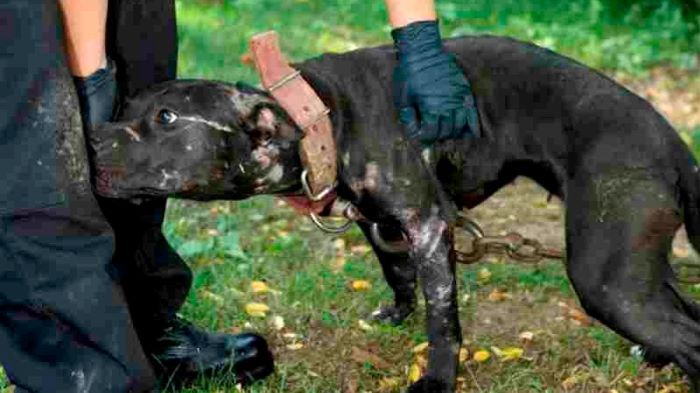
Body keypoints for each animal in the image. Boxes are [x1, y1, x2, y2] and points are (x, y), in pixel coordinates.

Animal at [90, 35, 700, 390]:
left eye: (167, 119)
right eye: (124, 107)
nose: (91, 139)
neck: (320, 117)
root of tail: (674, 144)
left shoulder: (429, 226)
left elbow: (444, 319)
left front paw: (437, 378)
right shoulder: (378, 225)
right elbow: (396, 271)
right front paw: (398, 311)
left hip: (605, 274)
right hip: (638, 268)